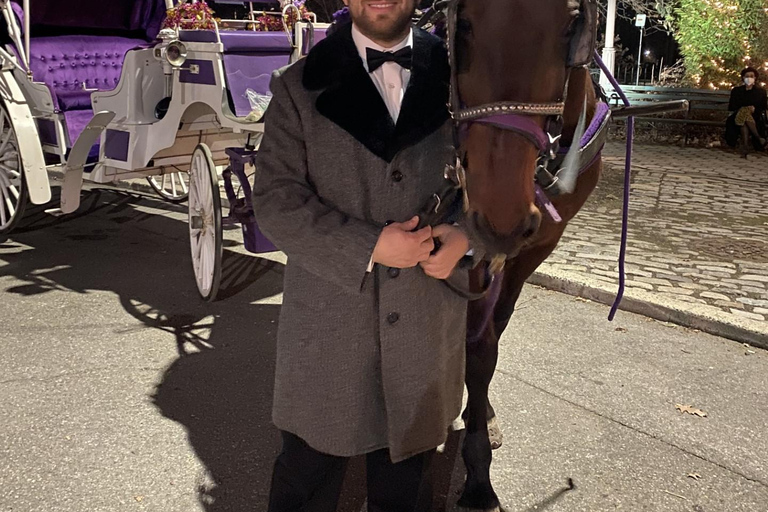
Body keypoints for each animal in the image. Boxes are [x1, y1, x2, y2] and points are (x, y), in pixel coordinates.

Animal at [450, 0, 608, 508]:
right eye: (463, 23)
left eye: (571, 23)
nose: (501, 215)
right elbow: (478, 346)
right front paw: (478, 475)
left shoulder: (535, 248)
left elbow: (494, 334)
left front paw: (482, 418)